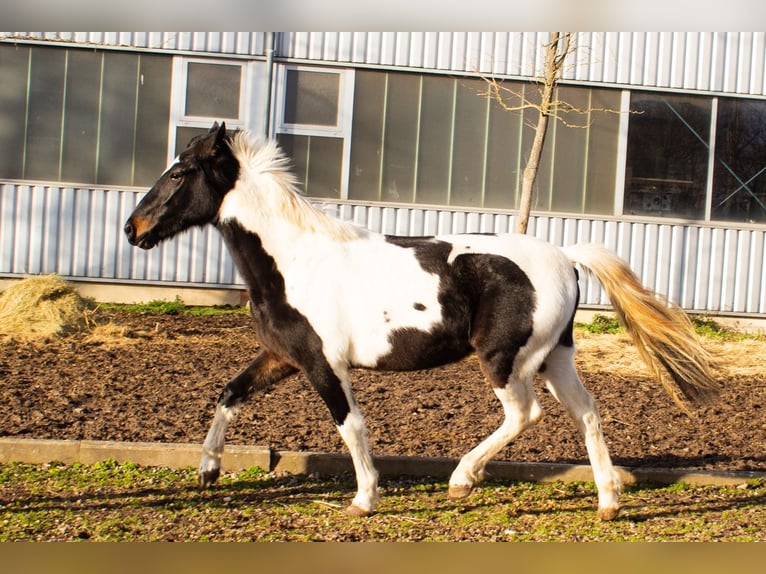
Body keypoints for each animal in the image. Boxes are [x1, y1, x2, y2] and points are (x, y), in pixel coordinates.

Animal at [126, 121, 720, 520]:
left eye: (179, 172)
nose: (134, 229)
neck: (293, 261)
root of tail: (567, 257)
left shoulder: (323, 362)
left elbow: (350, 425)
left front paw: (365, 498)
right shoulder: (282, 356)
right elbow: (229, 394)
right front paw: (208, 470)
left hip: (507, 360)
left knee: (523, 414)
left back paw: (462, 479)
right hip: (556, 359)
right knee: (588, 413)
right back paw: (608, 502)